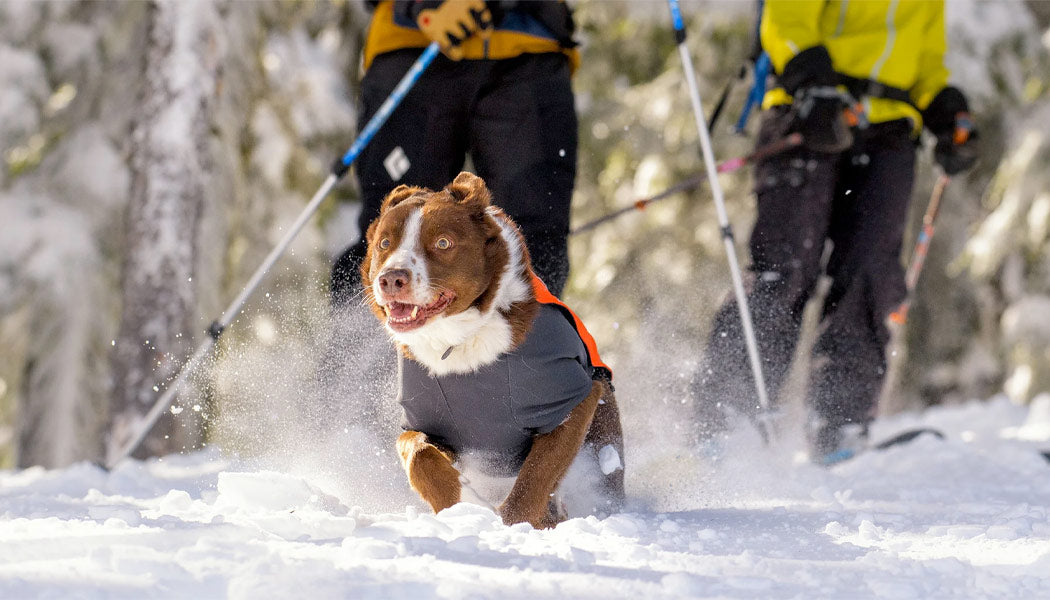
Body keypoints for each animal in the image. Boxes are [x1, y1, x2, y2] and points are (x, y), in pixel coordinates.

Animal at [361, 171, 621, 527]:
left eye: (443, 243)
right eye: (385, 243)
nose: (391, 279)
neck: (462, 343)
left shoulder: (571, 401)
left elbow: (535, 478)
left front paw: (517, 525)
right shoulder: (426, 420)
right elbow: (419, 454)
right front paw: (460, 507)